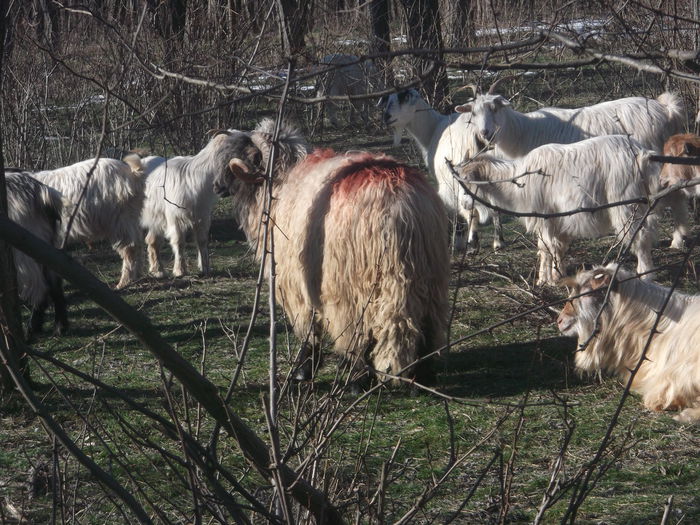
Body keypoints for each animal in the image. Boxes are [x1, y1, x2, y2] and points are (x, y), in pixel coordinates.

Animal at [142, 133, 260, 276]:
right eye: (237, 146)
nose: (258, 156)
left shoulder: (201, 216)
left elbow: (202, 241)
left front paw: (205, 268)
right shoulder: (176, 217)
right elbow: (179, 242)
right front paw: (180, 270)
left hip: (156, 217)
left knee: (152, 241)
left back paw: (157, 270)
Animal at [380, 89, 506, 251]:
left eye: (404, 99)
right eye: (388, 100)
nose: (386, 117)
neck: (432, 129)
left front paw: (458, 240)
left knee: (471, 208)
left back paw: (473, 242)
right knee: (495, 204)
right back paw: (498, 241)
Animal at [460, 134, 656, 282]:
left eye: (467, 181)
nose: (464, 204)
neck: (517, 182)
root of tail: (641, 153)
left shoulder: (543, 217)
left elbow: (546, 247)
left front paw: (544, 279)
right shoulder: (558, 219)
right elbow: (558, 246)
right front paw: (557, 274)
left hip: (626, 204)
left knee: (640, 237)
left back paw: (645, 275)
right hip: (641, 203)